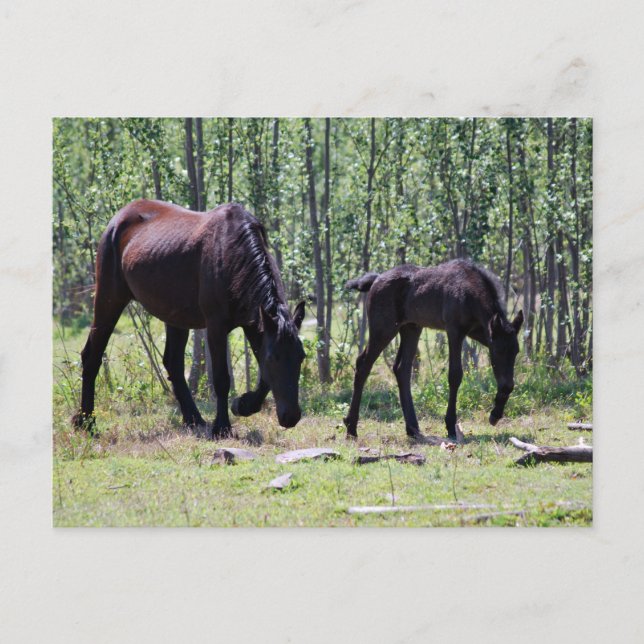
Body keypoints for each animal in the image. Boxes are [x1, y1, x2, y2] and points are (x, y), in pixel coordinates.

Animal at [72, 199, 306, 439]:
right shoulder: (216, 326)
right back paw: (86, 422)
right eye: (274, 358)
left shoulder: (254, 323)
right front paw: (222, 427)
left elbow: (264, 378)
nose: (291, 417)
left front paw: (243, 405)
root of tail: (118, 219)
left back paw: (193, 418)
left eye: (301, 357)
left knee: (173, 363)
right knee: (92, 356)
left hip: (175, 316)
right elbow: (222, 379)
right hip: (109, 299)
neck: (233, 253)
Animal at [344, 259, 523, 440]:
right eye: (498, 352)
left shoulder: (480, 332)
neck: (471, 296)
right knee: (363, 364)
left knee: (402, 368)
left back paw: (413, 428)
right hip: (383, 328)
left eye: (515, 352)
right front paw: (450, 426)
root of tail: (376, 279)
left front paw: (496, 412)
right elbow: (455, 375)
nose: (507, 387)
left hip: (411, 327)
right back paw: (351, 427)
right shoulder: (454, 331)